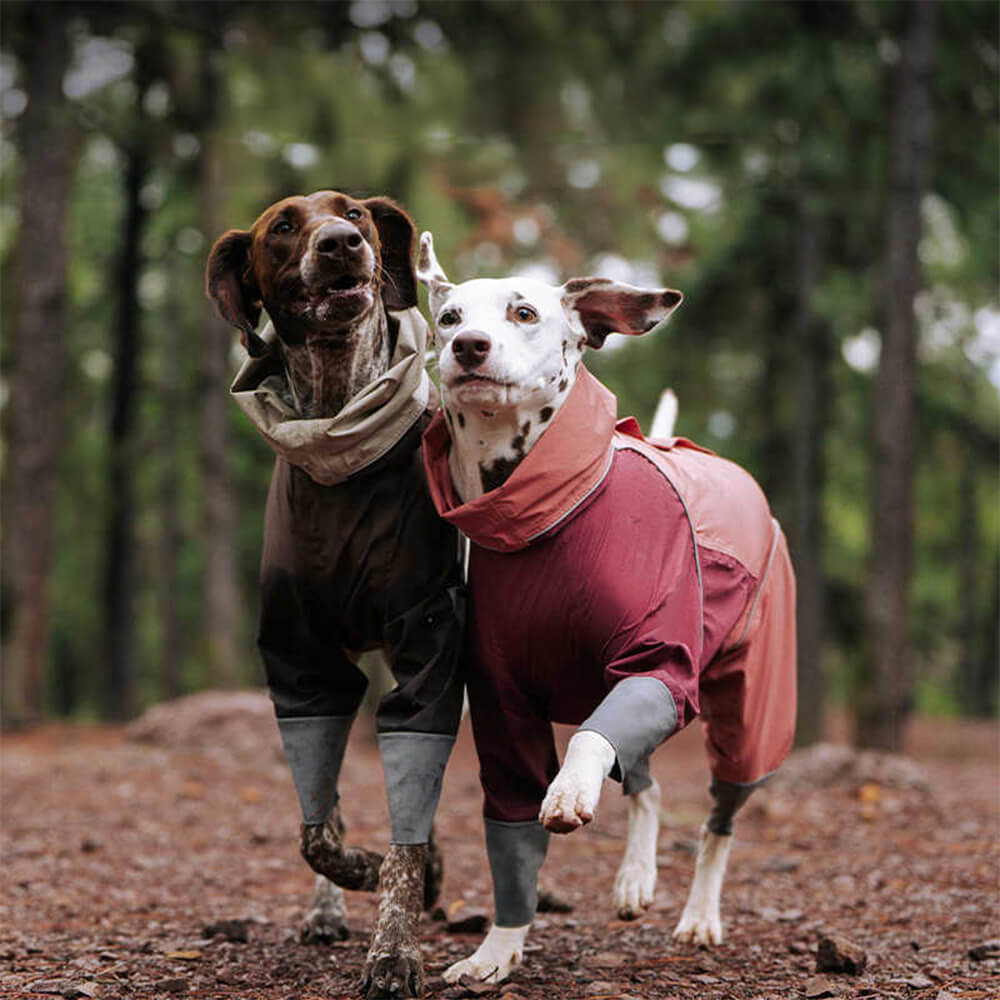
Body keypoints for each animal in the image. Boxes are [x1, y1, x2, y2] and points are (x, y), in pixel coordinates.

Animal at [209, 195, 466, 1000]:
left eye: (353, 211)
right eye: (284, 227)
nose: (345, 242)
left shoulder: (431, 646)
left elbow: (406, 833)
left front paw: (395, 949)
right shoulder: (303, 661)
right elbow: (317, 828)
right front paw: (352, 879)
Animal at [414, 232, 796, 984]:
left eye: (524, 312)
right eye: (448, 317)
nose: (469, 345)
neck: (549, 510)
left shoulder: (658, 666)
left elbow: (591, 742)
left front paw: (568, 792)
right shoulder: (500, 700)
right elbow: (511, 831)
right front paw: (497, 949)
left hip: (748, 718)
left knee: (718, 818)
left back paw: (699, 914)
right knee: (645, 785)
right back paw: (635, 878)